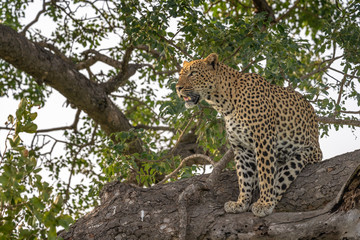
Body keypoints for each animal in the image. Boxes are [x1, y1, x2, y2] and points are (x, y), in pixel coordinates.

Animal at [176, 53, 322, 218]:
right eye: (180, 75)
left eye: (193, 73)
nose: (178, 88)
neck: (225, 103)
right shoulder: (242, 148)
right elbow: (243, 177)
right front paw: (241, 203)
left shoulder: (263, 140)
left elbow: (265, 173)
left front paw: (264, 203)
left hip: (303, 154)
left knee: (279, 178)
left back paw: (266, 201)